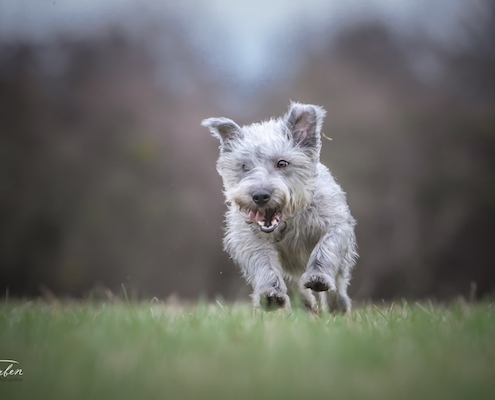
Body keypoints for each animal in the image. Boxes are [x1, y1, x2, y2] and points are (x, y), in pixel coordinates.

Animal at [203, 102, 358, 312]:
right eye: (244, 166)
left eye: (282, 163)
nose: (260, 195)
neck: (289, 221)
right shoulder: (250, 240)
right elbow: (264, 264)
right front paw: (270, 294)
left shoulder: (336, 225)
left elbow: (325, 249)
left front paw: (318, 276)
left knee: (338, 284)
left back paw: (337, 307)